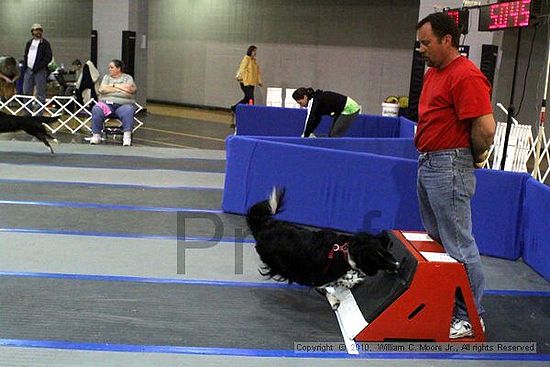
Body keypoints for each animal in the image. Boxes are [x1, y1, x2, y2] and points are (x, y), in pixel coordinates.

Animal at [247, 187, 402, 310]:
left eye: (387, 252)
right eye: (377, 261)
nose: (397, 265)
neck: (346, 252)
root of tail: (263, 227)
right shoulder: (316, 277)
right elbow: (329, 286)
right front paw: (342, 292)